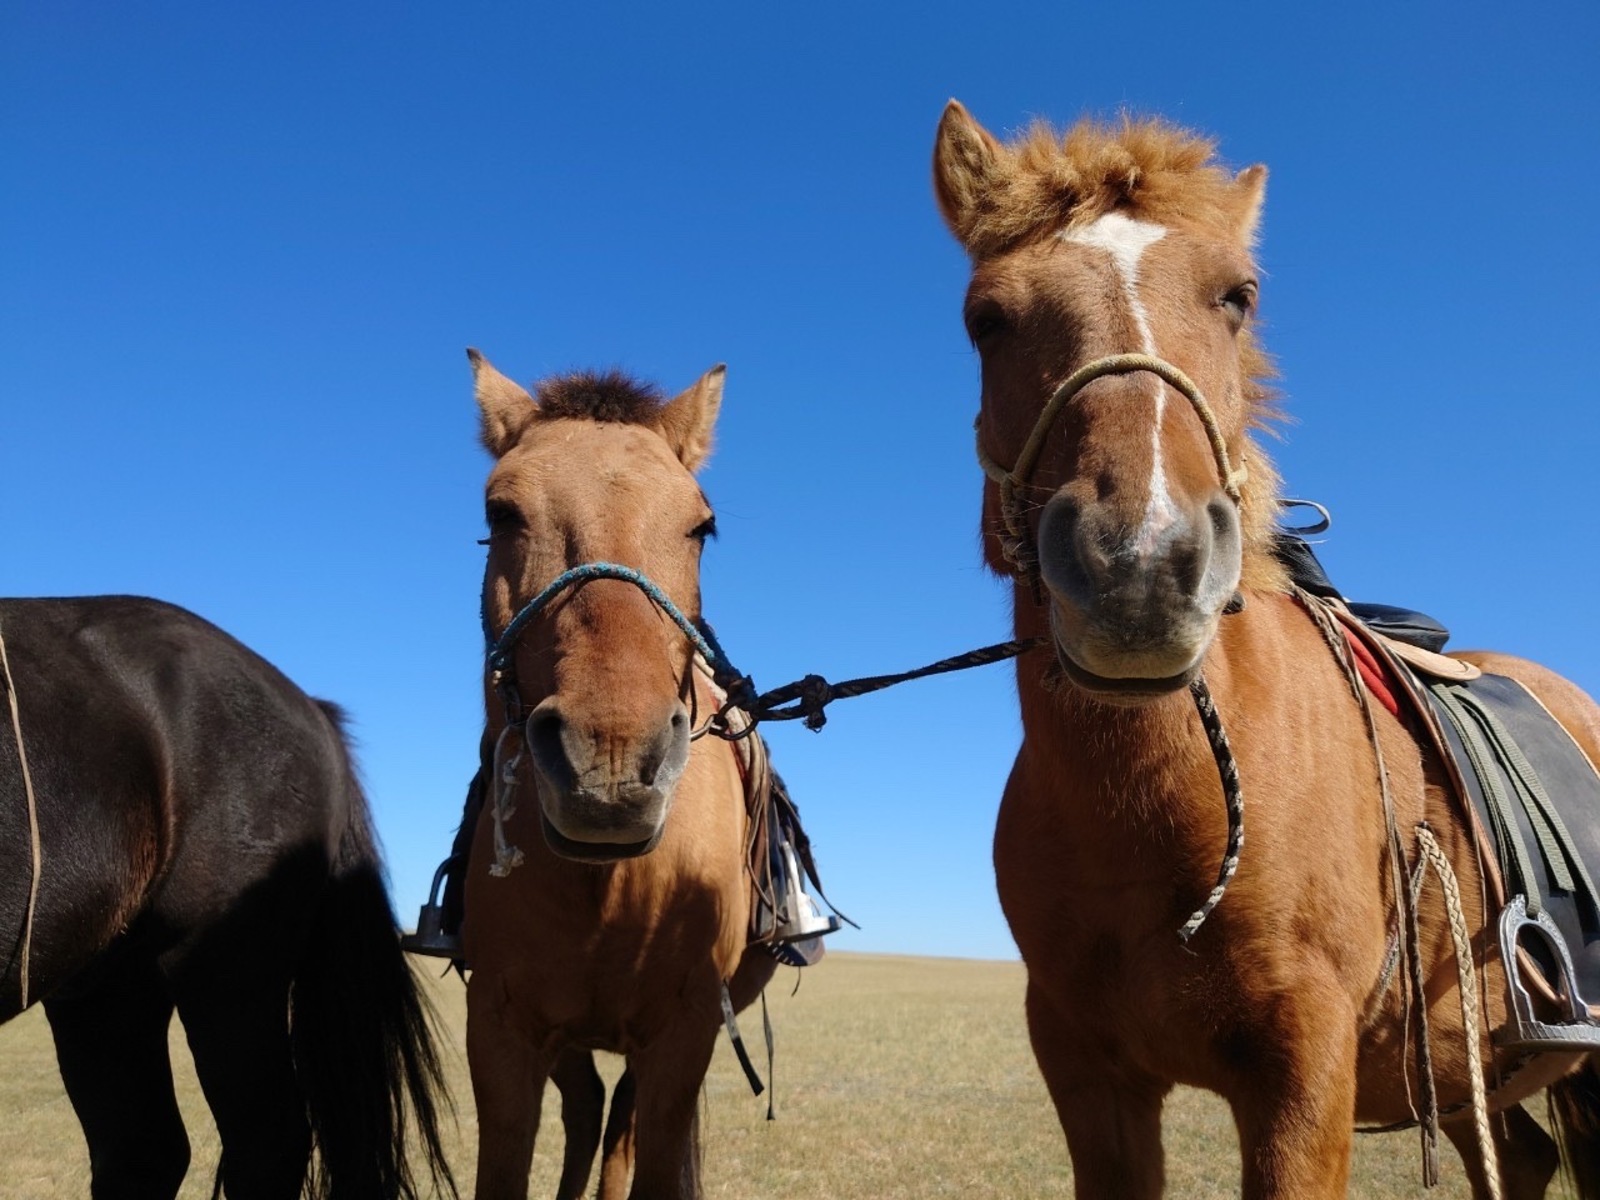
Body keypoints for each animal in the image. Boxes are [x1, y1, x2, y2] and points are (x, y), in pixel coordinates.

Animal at [934, 98, 1600, 1196]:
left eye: (1237, 299)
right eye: (985, 319)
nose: (1141, 565)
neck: (1153, 808)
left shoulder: (1303, 1076)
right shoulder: (1089, 1078)